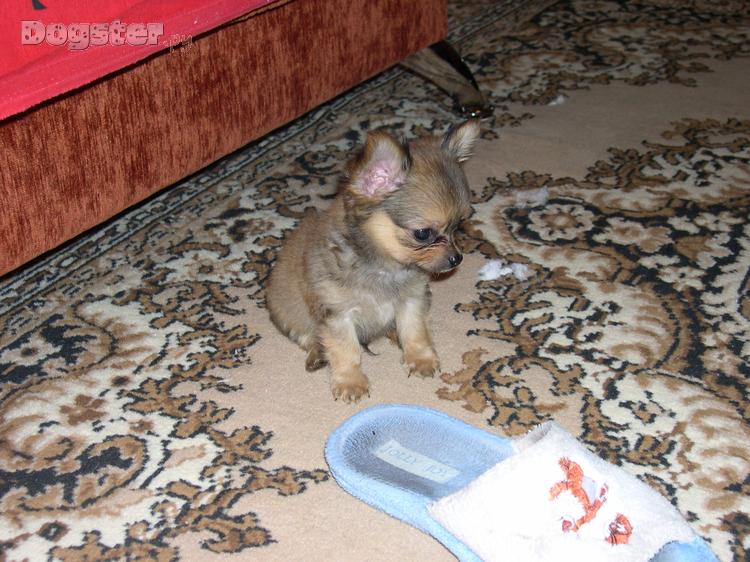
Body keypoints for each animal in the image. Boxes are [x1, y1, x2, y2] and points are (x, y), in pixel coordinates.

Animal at [265, 120, 480, 402]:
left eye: (459, 225)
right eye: (423, 234)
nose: (457, 259)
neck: (384, 269)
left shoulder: (412, 299)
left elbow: (415, 331)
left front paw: (420, 358)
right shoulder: (338, 316)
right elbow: (347, 351)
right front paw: (350, 382)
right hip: (285, 312)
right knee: (307, 335)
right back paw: (317, 353)